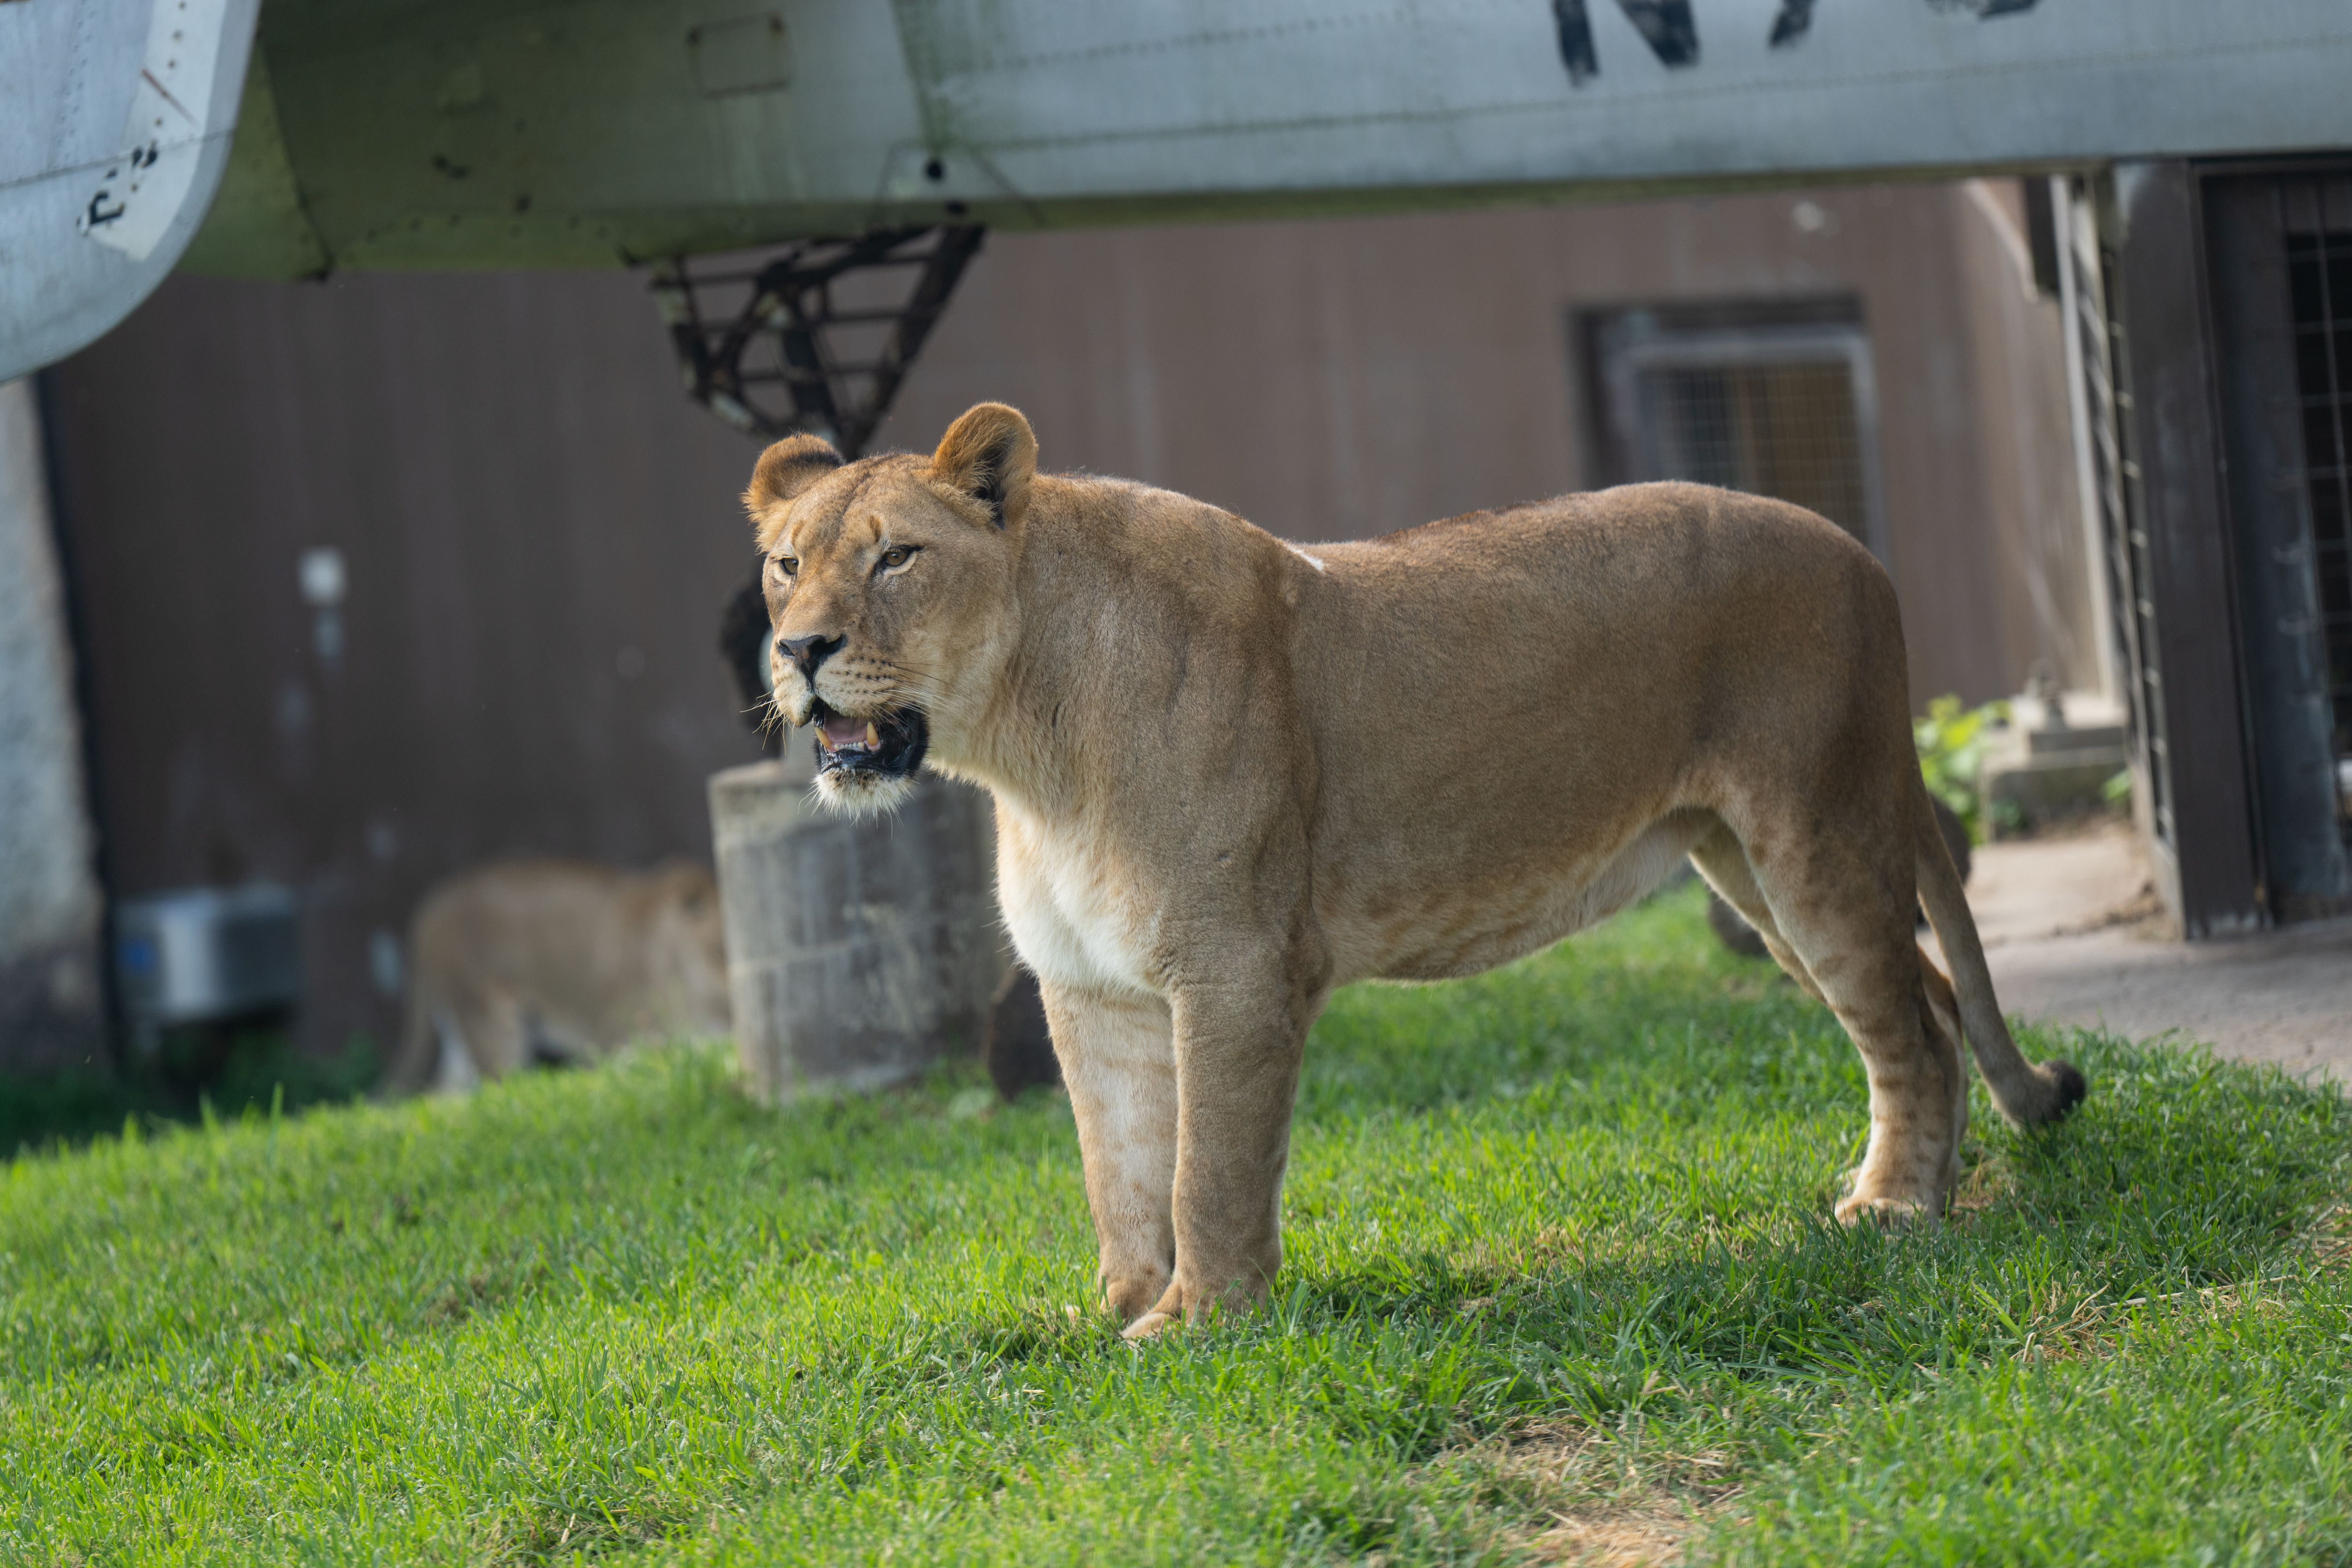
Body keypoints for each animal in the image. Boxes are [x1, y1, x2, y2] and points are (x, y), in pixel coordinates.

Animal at [742, 403, 2086, 1337]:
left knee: (1910, 1027)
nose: (797, 649)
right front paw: (1115, 1313)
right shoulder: (1088, 988)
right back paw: (1911, 1183)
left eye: (896, 559)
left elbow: (1205, 1167)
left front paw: (1197, 1326)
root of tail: (1858, 550)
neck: (1028, 749)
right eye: (783, 564)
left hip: (1812, 833)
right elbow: (1115, 1171)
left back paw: (1898, 1213)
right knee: (1925, 1000)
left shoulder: (1234, 966)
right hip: (1751, 876)